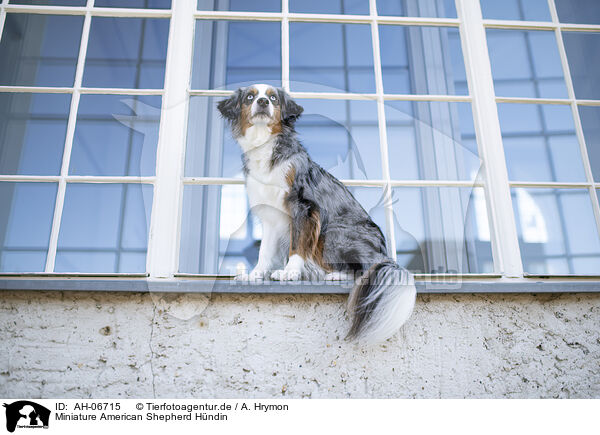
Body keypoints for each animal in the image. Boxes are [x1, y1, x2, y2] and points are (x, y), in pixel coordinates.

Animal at [217, 85, 418, 344]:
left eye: (273, 98)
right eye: (250, 97)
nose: (262, 102)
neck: (267, 148)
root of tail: (385, 254)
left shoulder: (303, 207)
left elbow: (297, 246)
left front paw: (289, 273)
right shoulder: (270, 216)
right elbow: (265, 251)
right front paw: (255, 275)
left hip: (332, 234)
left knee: (366, 268)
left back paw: (336, 276)